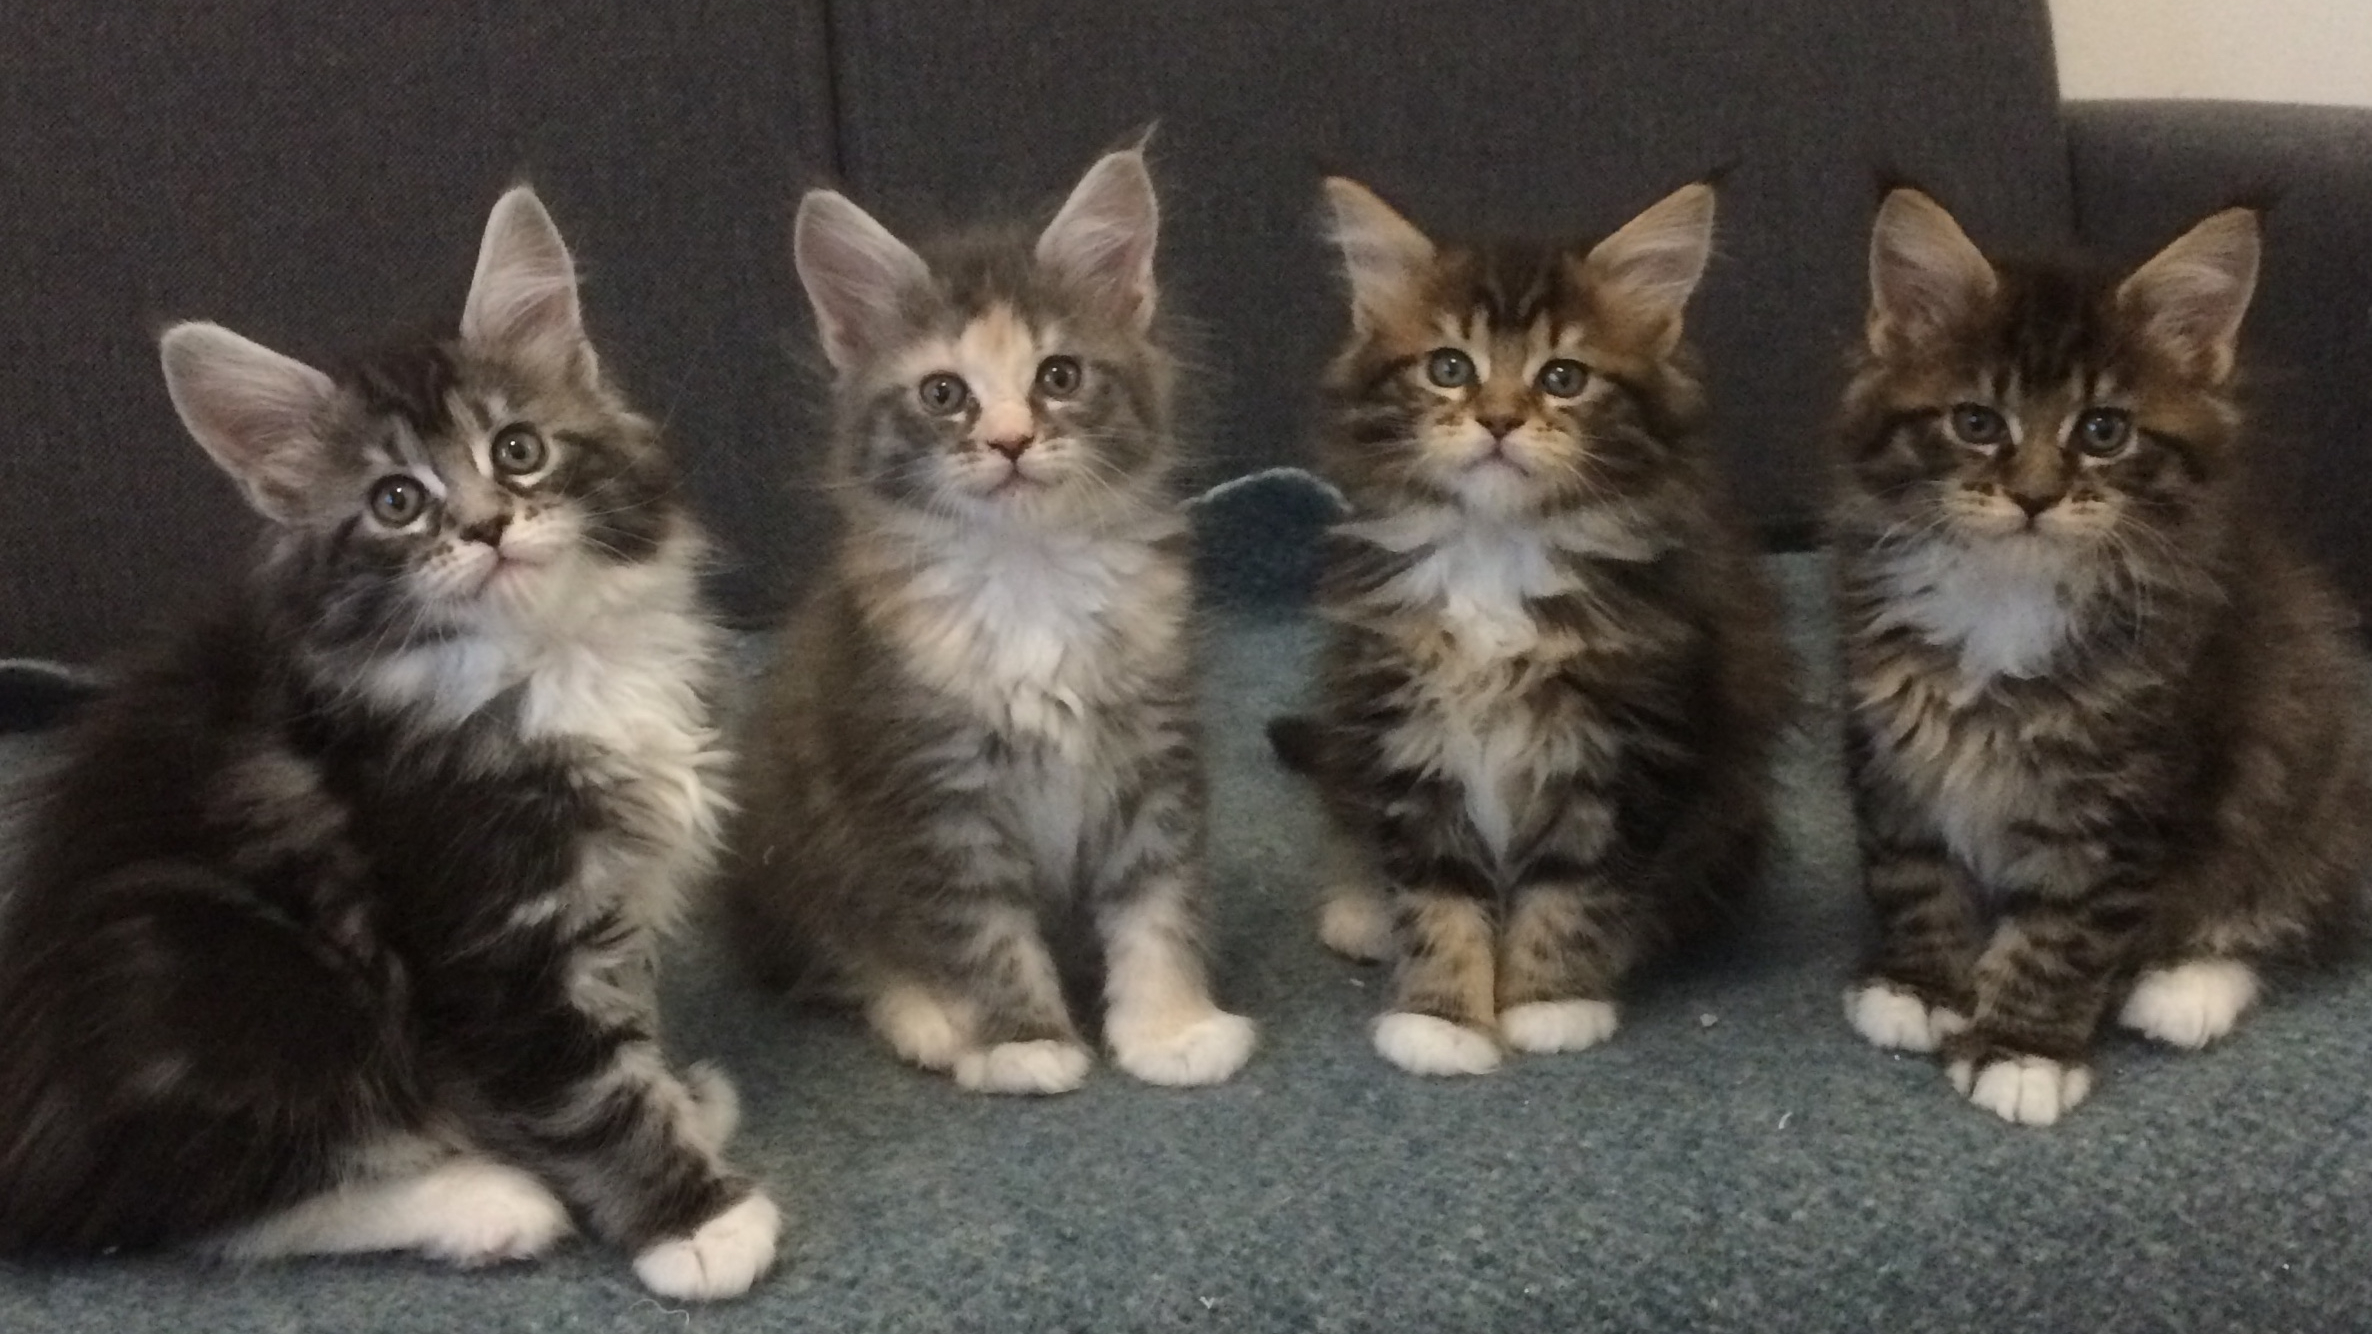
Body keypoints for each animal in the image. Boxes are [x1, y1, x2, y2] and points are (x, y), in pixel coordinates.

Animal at [0, 187, 779, 1298]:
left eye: (518, 450)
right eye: (396, 502)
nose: (489, 526)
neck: (546, 662)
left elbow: (625, 1020)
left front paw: (677, 1098)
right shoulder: (491, 929)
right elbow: (589, 1085)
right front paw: (696, 1221)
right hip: (239, 981)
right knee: (192, 1203)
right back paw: (480, 1198)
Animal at [724, 148, 1257, 1095]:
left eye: (1059, 376)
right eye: (945, 394)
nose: (1010, 441)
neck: (1028, 571)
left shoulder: (1153, 750)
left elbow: (1157, 899)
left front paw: (1172, 1028)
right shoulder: (935, 790)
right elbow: (982, 933)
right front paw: (1022, 1044)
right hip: (795, 836)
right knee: (840, 952)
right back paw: (930, 1015)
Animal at [1276, 176, 1789, 1077]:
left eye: (1563, 377)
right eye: (1450, 368)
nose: (1500, 419)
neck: (1497, 551)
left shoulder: (1619, 747)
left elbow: (1575, 890)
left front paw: (1550, 1001)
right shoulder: (1409, 728)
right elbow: (1435, 891)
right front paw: (1440, 1021)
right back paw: (1362, 910)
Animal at [1834, 187, 2372, 1126]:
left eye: (2103, 431)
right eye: (1977, 422)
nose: (2035, 497)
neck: (2009, 592)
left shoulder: (2124, 794)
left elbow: (2068, 927)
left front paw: (2024, 1051)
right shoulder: (1891, 748)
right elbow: (1911, 869)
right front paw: (1921, 986)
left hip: (2309, 778)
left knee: (2294, 905)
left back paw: (2183, 988)